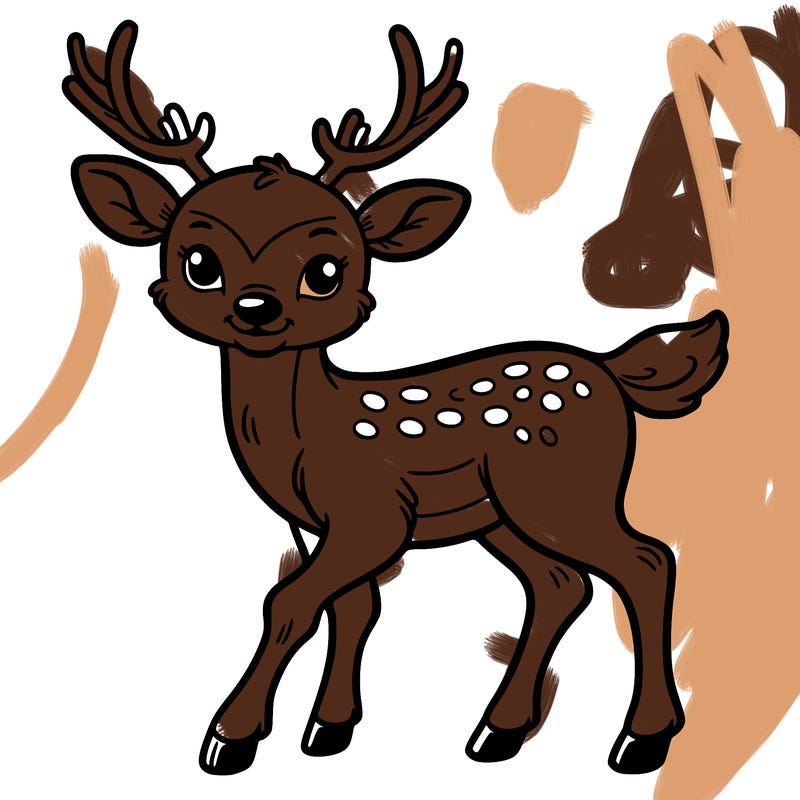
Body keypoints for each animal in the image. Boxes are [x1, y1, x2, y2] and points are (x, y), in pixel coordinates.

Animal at [63, 19, 728, 778]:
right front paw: (327, 730)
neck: (307, 435)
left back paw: (640, 741)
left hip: (562, 491)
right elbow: (353, 608)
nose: (256, 309)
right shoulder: (324, 524)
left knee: (647, 561)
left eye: (326, 270)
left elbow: (289, 601)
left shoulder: (372, 512)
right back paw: (495, 733)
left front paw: (230, 738)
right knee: (562, 585)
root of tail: (612, 370)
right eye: (200, 263)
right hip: (504, 515)